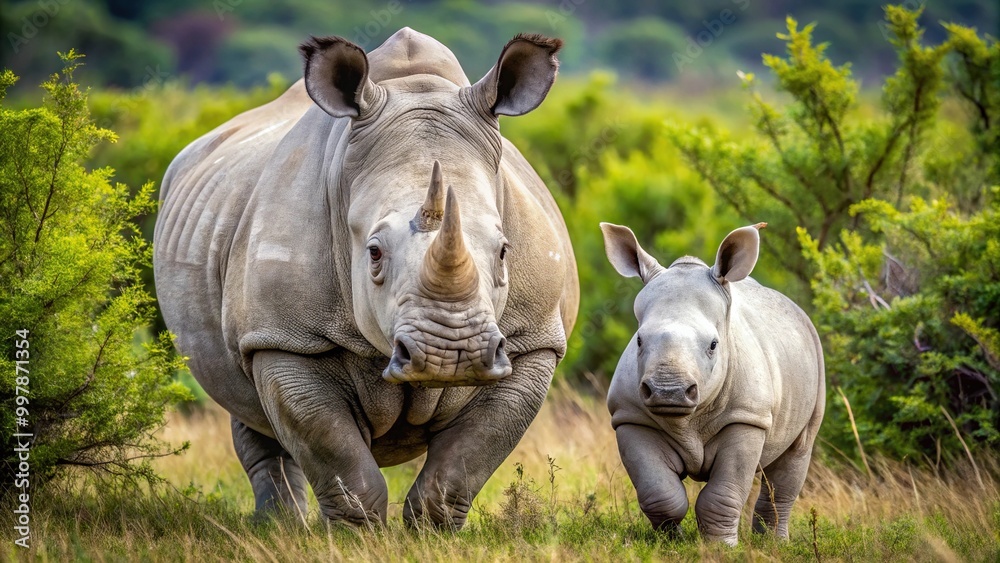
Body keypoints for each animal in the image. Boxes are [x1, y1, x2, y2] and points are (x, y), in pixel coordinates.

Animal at [153, 28, 578, 528]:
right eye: (373, 252)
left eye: (504, 251)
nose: (451, 355)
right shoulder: (284, 337)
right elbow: (338, 460)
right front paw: (358, 536)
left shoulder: (532, 340)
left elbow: (463, 465)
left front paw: (431, 535)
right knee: (247, 403)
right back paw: (280, 528)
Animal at [599, 222, 824, 545]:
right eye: (639, 340)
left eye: (714, 345)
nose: (669, 391)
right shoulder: (631, 416)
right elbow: (659, 492)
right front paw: (671, 540)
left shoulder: (746, 417)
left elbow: (723, 493)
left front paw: (722, 546)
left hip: (815, 354)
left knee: (797, 452)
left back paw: (774, 543)